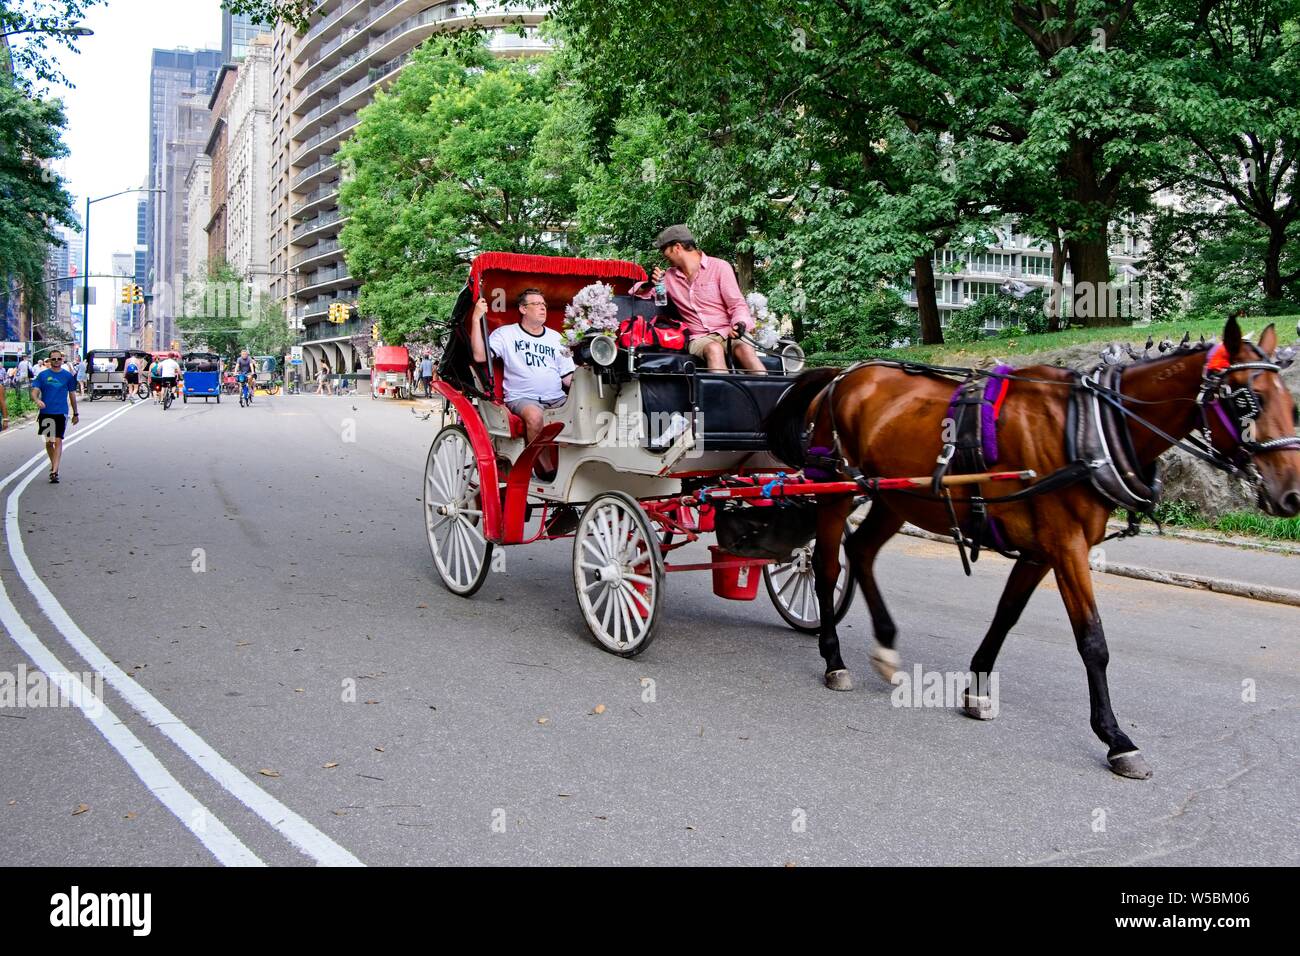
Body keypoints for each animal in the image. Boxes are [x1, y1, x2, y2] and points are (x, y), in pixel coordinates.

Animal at [764, 317, 1294, 780]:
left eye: (1291, 403)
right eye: (1247, 401)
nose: (1291, 495)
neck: (1089, 428)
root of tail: (842, 375)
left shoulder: (1043, 550)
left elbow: (1006, 614)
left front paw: (977, 688)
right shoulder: (1067, 546)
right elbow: (1093, 641)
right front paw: (1116, 739)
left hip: (900, 496)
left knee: (861, 551)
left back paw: (886, 646)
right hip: (835, 490)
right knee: (827, 567)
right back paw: (834, 659)